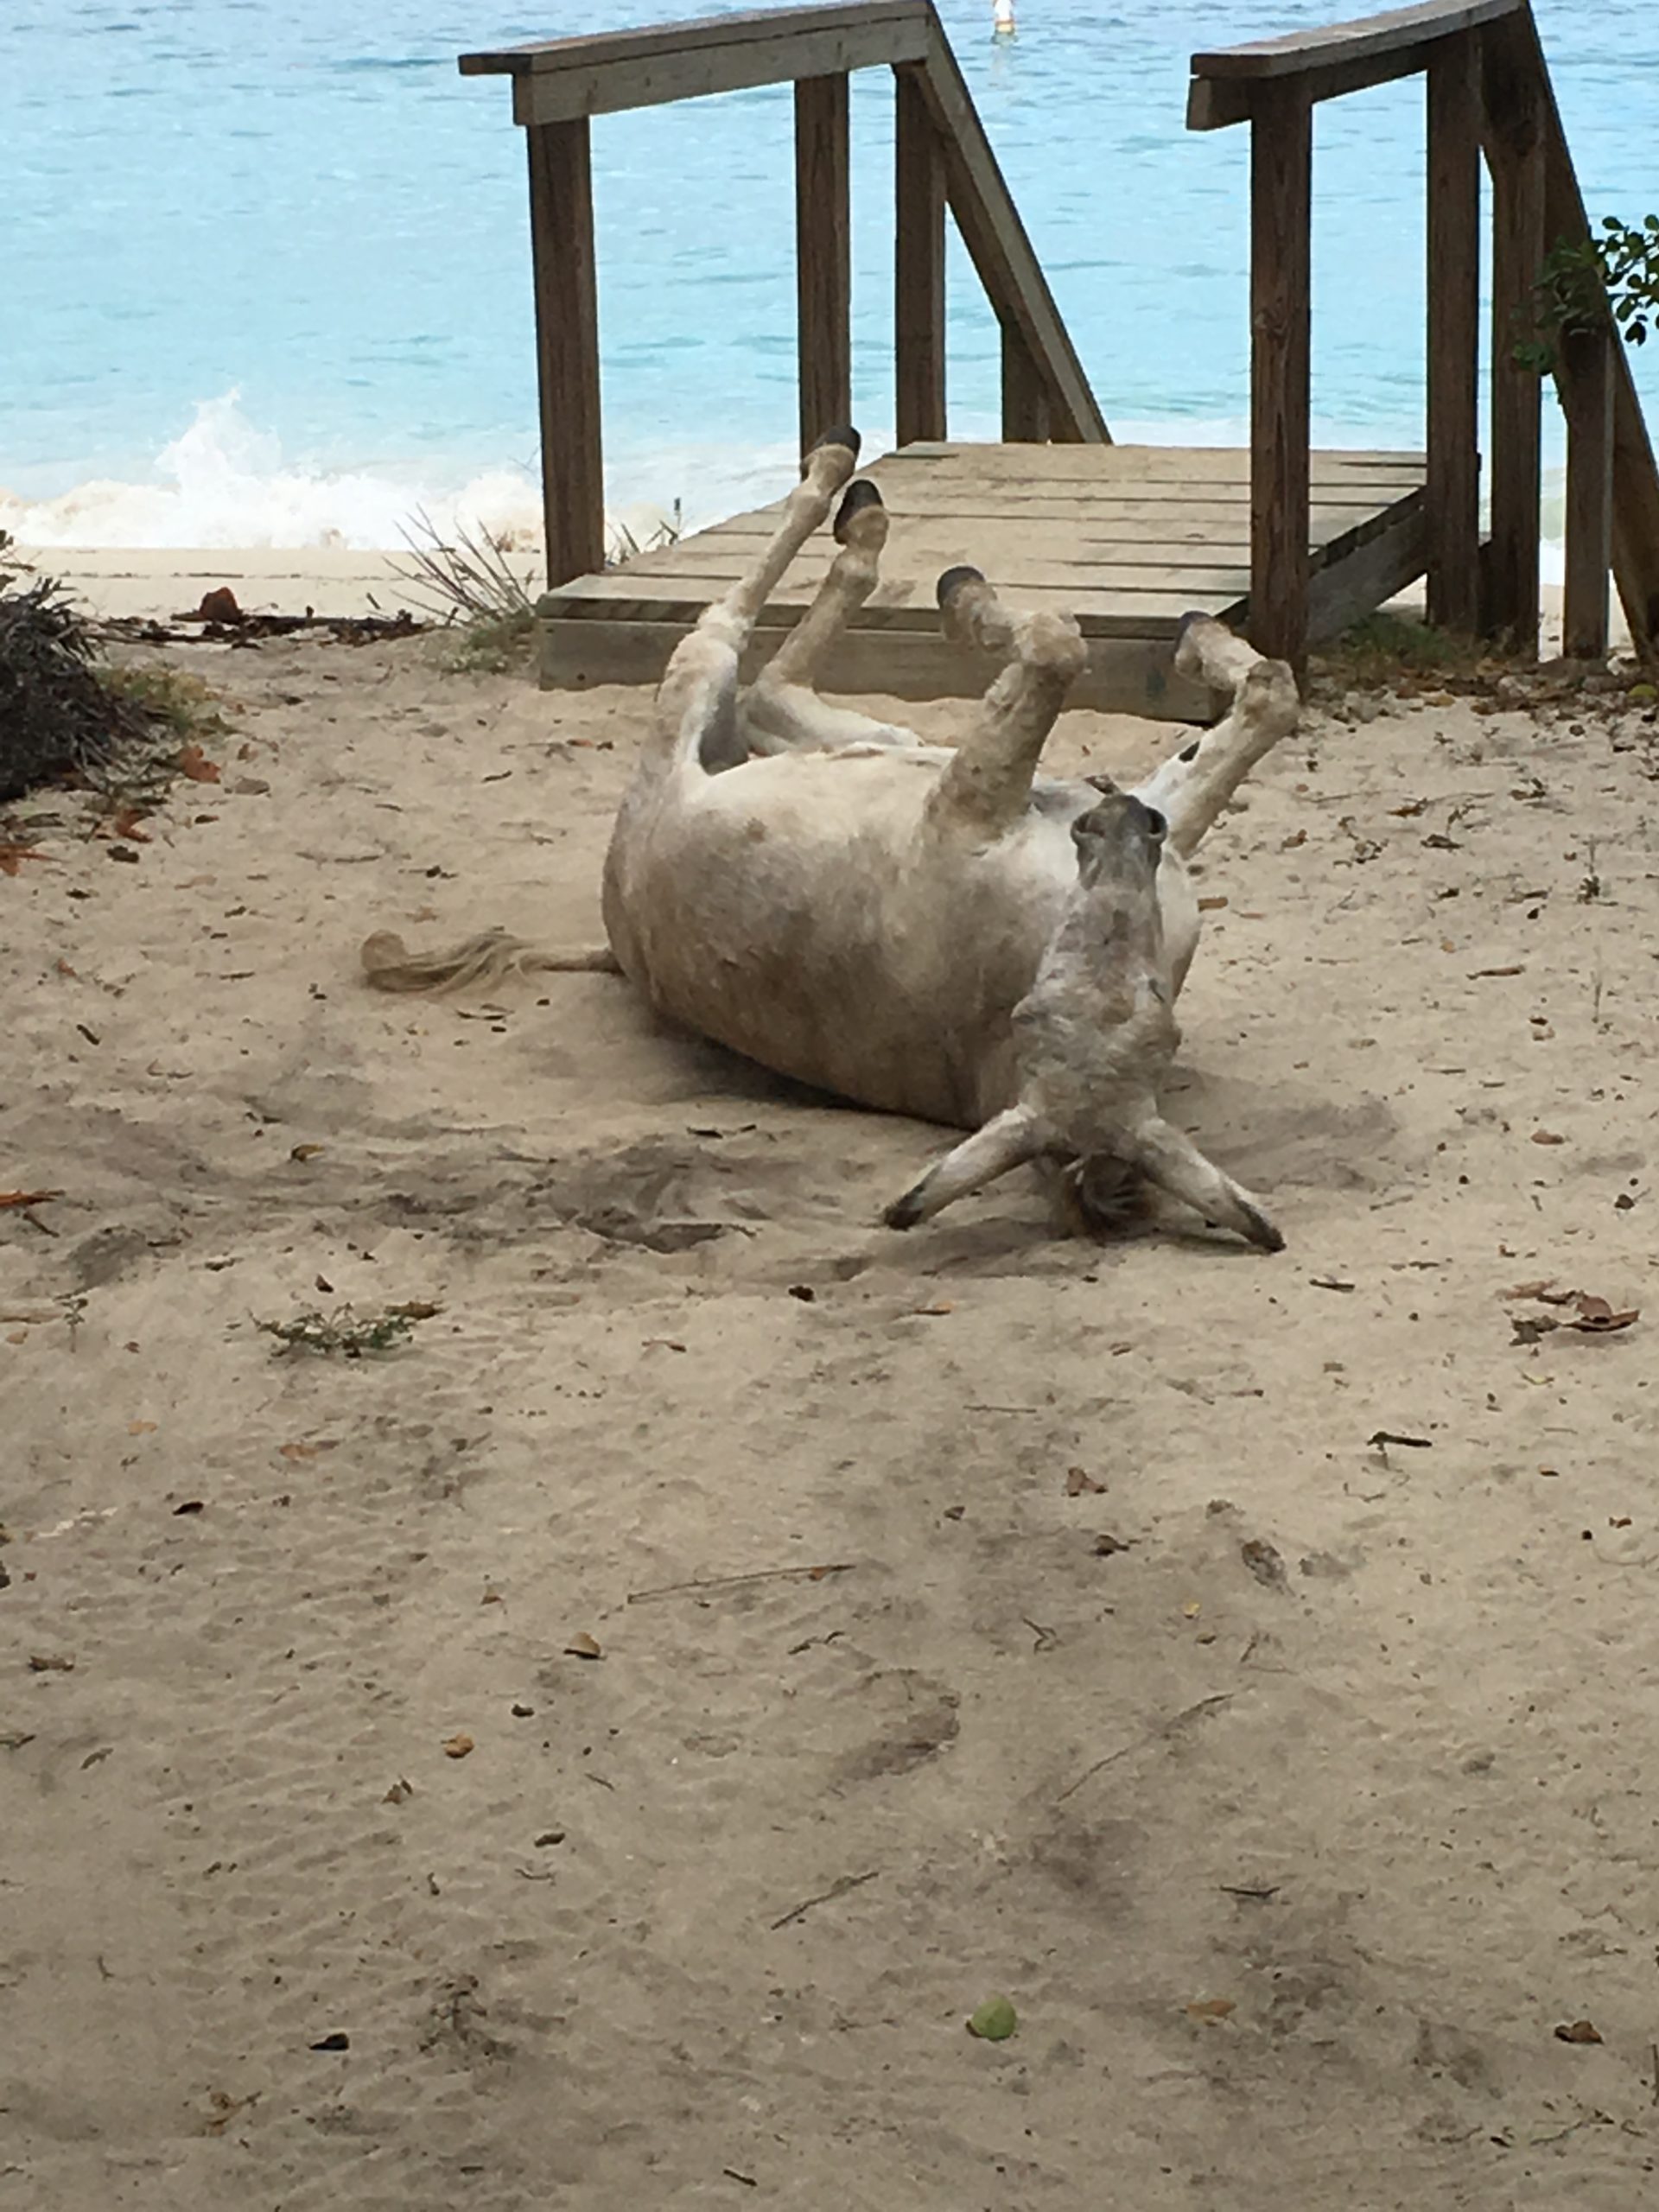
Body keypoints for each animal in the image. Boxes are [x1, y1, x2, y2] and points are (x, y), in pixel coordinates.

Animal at [362, 417, 1300, 1247]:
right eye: (1046, 1004)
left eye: (1155, 1014)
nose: (1122, 826)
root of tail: (612, 938)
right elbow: (1250, 693)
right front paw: (1200, 644)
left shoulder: (994, 801)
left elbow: (1069, 650)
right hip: (850, 737)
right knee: (770, 684)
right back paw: (872, 515)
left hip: (697, 708)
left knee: (735, 639)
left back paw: (851, 495)